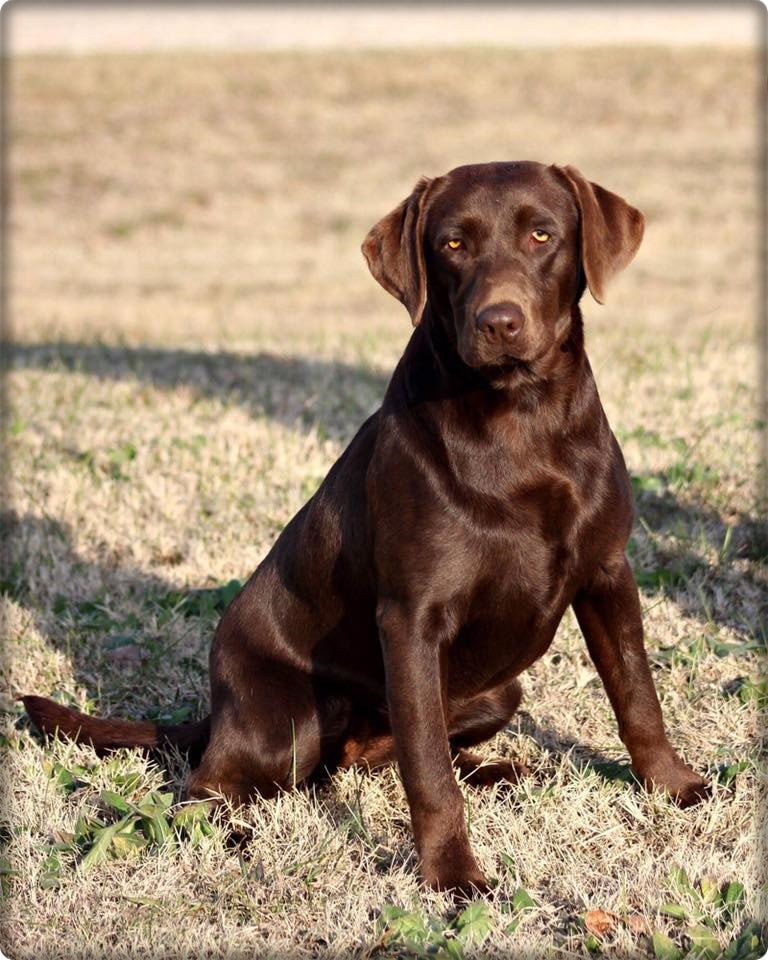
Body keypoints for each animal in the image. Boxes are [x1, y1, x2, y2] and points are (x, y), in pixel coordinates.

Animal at [24, 163, 708, 892]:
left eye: (542, 235)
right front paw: (452, 875)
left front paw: (673, 786)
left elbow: (636, 695)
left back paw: (498, 769)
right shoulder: (412, 618)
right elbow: (430, 775)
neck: (523, 420)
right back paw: (232, 836)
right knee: (207, 786)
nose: (499, 322)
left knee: (380, 757)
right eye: (453, 244)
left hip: (496, 690)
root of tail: (219, 709)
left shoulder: (607, 575)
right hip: (289, 719)